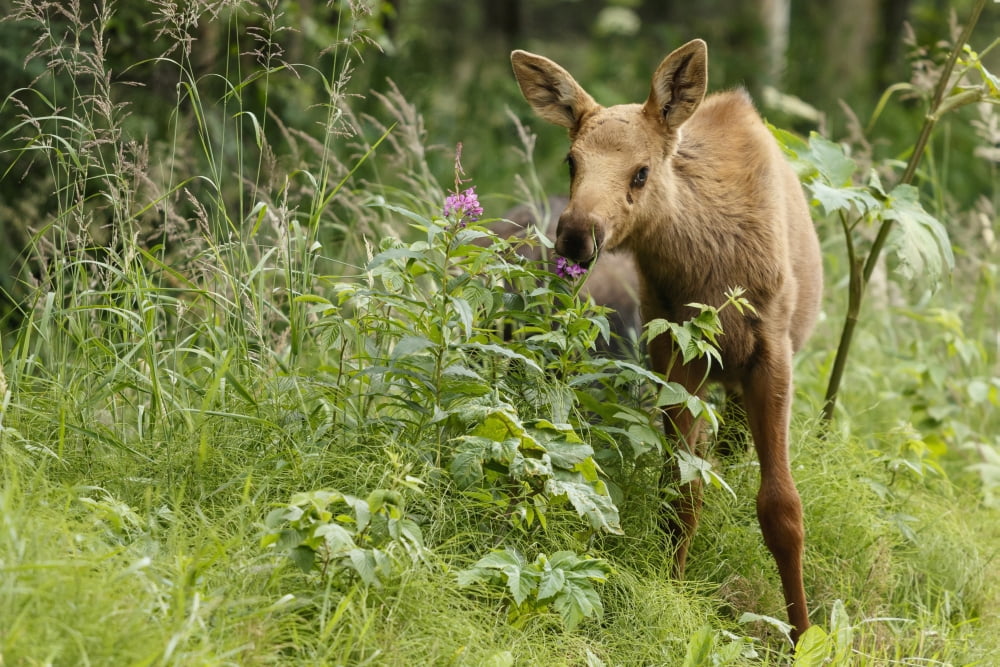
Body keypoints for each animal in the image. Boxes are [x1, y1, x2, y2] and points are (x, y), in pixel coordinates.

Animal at [511, 39, 823, 642]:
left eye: (641, 172)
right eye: (571, 161)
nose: (576, 234)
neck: (709, 272)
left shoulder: (771, 353)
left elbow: (783, 508)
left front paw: (803, 634)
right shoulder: (677, 353)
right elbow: (682, 491)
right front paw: (674, 589)